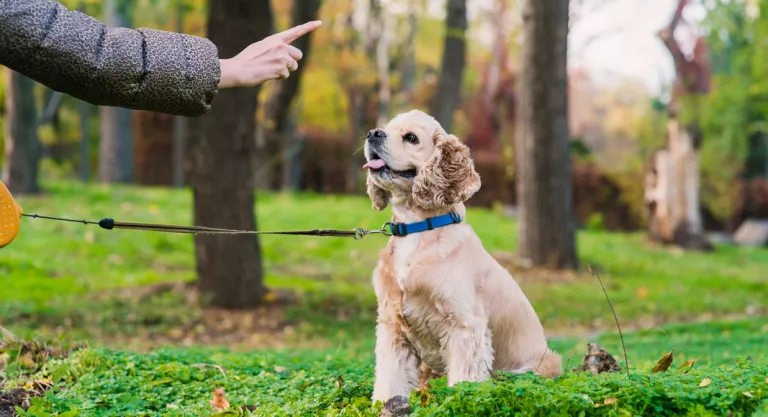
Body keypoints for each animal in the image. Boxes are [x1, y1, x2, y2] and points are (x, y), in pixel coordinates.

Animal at [364, 108, 560, 404]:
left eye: (411, 137)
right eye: (385, 128)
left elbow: (463, 381)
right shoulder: (391, 325)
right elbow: (390, 378)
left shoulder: (465, 326)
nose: (373, 133)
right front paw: (386, 404)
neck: (416, 229)